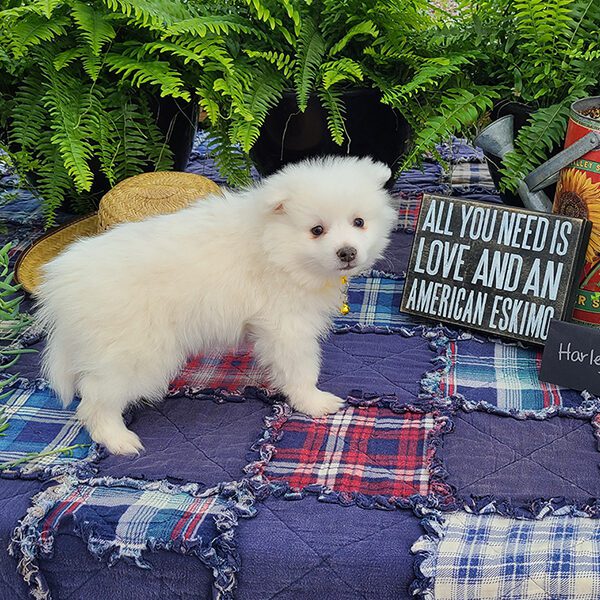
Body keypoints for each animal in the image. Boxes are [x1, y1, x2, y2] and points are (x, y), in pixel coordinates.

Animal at [35, 157, 396, 452]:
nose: (347, 252)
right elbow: (301, 368)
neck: (273, 246)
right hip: (135, 353)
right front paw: (314, 402)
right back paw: (118, 439)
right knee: (95, 400)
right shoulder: (287, 327)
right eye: (317, 230)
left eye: (359, 222)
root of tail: (60, 287)